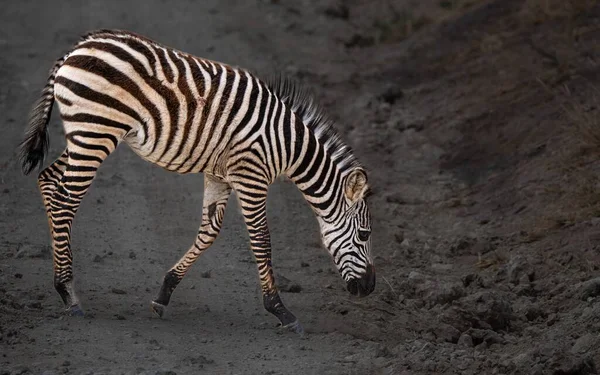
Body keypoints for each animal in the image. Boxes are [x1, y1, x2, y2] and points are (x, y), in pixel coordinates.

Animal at [19, 29, 376, 334]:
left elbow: (209, 231)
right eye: (365, 234)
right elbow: (262, 240)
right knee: (66, 200)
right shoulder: (251, 174)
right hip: (95, 131)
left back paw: (62, 286)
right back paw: (69, 295)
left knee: (48, 181)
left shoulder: (220, 175)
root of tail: (77, 48)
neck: (287, 144)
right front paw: (281, 311)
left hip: (85, 134)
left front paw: (163, 295)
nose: (369, 289)